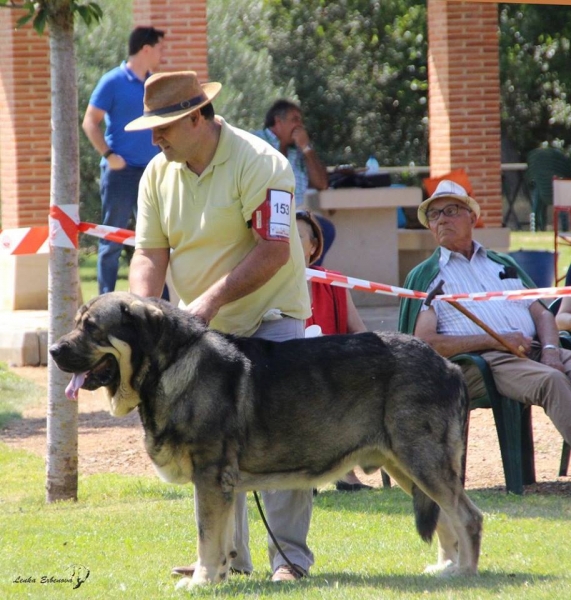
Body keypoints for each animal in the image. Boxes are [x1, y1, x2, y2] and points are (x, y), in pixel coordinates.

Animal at [52, 292, 482, 588]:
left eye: (91, 328)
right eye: (77, 323)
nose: (55, 349)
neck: (170, 364)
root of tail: (447, 365)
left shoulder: (210, 477)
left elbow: (206, 534)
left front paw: (201, 581)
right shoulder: (221, 485)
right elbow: (222, 538)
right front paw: (217, 577)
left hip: (422, 459)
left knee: (467, 516)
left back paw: (466, 571)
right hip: (406, 464)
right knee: (445, 516)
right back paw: (445, 569)